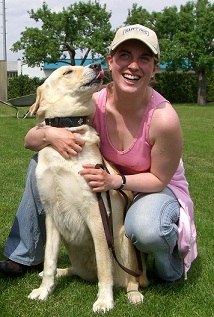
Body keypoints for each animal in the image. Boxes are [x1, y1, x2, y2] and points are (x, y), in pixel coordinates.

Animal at [27, 62, 148, 312]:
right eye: (67, 72)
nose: (96, 64)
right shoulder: (51, 215)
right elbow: (49, 258)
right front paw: (44, 290)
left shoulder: (96, 213)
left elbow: (103, 266)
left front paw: (104, 300)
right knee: (75, 270)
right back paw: (61, 272)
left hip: (123, 241)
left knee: (131, 279)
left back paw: (133, 295)